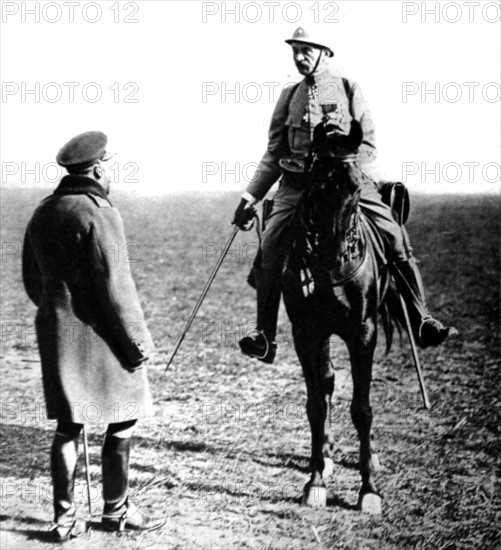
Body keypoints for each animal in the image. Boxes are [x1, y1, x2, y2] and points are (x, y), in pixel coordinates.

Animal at [280, 121, 396, 516]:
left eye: (356, 186)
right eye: (316, 186)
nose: (333, 255)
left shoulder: (363, 333)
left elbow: (363, 409)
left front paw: (369, 490)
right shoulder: (307, 333)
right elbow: (316, 404)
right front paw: (315, 482)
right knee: (328, 383)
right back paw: (326, 457)